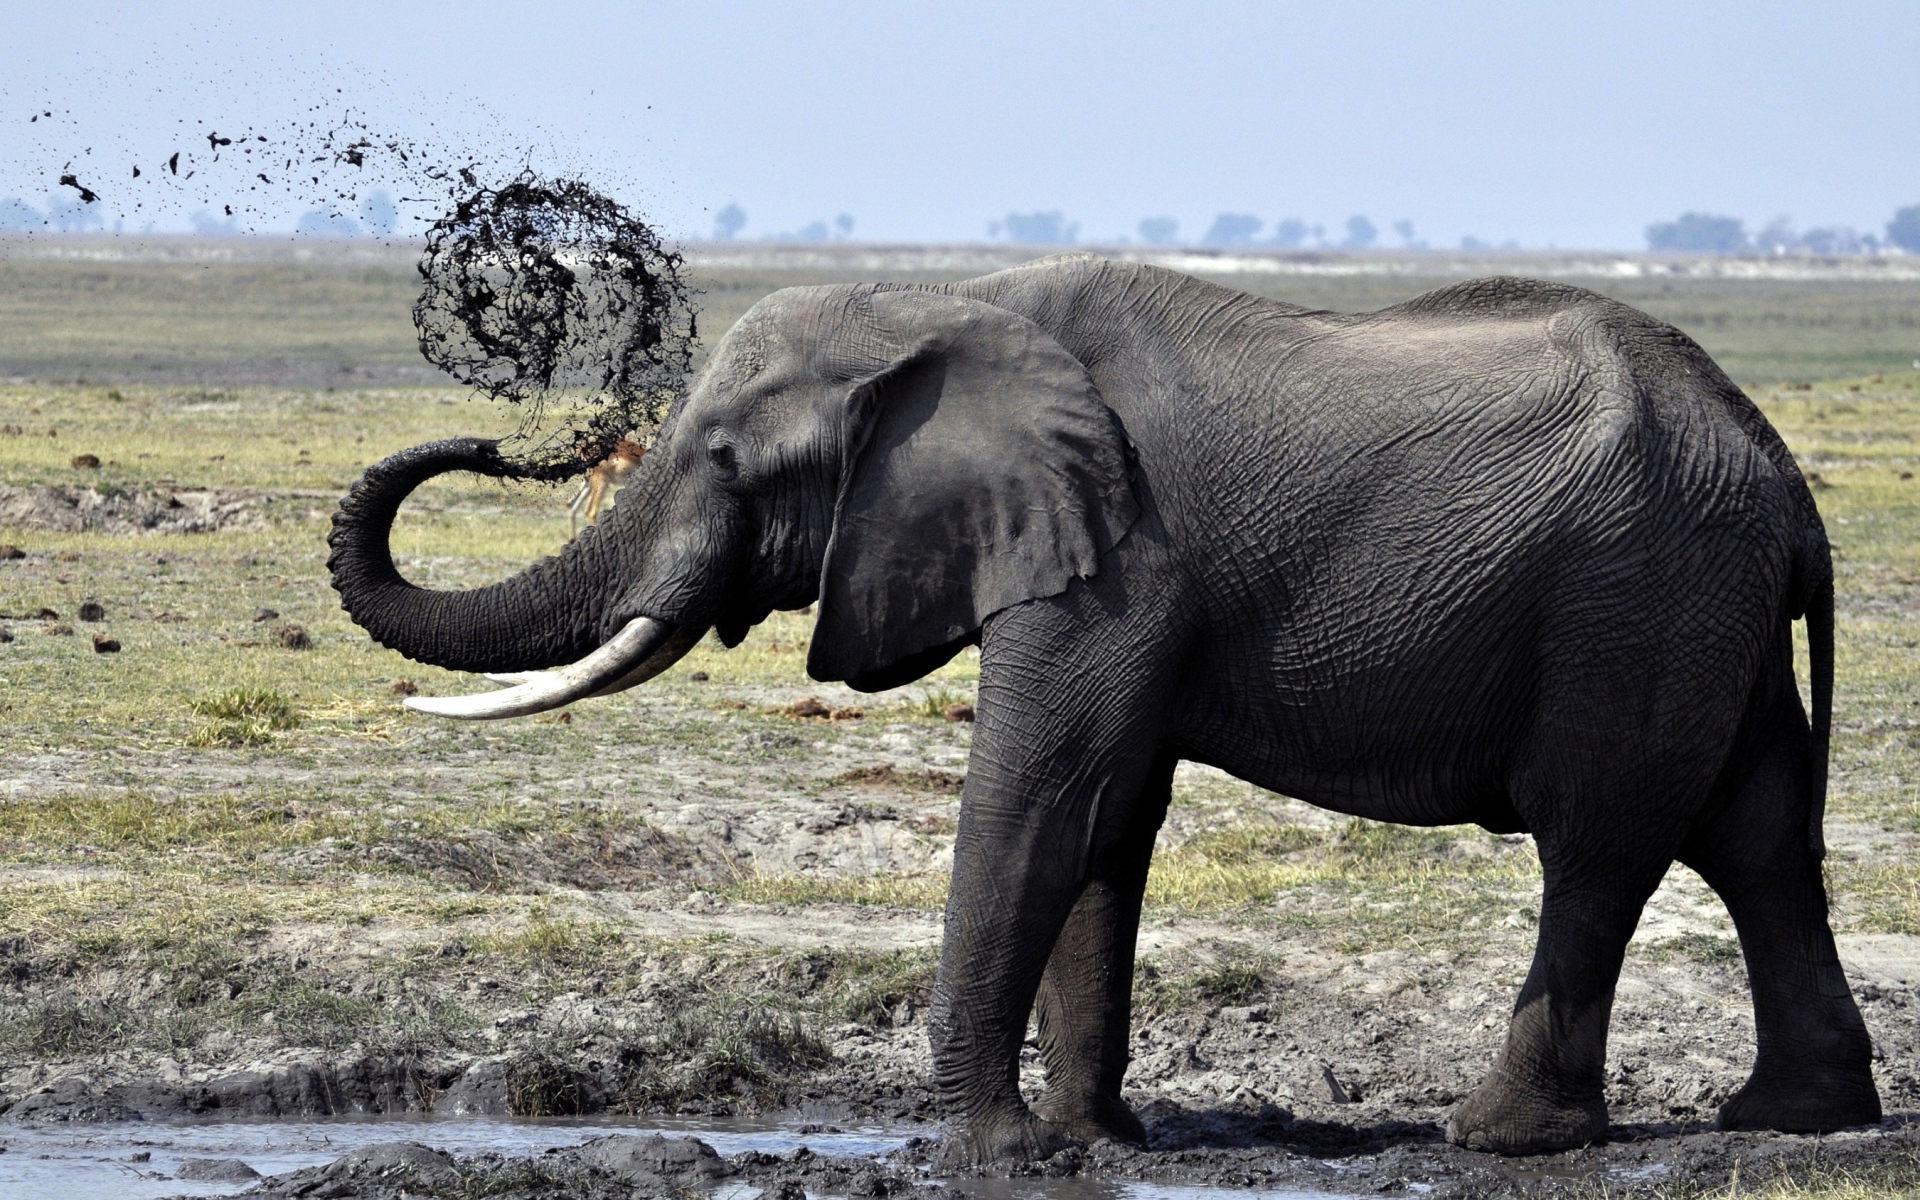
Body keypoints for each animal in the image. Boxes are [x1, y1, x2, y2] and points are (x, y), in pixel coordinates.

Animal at [328, 253, 1881, 1161]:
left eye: (723, 458)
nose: (509, 439)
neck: (943, 301)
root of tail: (1784, 477)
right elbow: (1104, 818)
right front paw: (1092, 1145)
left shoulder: (1114, 555)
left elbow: (1041, 794)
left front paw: (985, 1157)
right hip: (1702, 602)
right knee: (1756, 840)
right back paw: (1793, 1120)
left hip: (1639, 598)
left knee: (1600, 843)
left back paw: (1496, 1140)